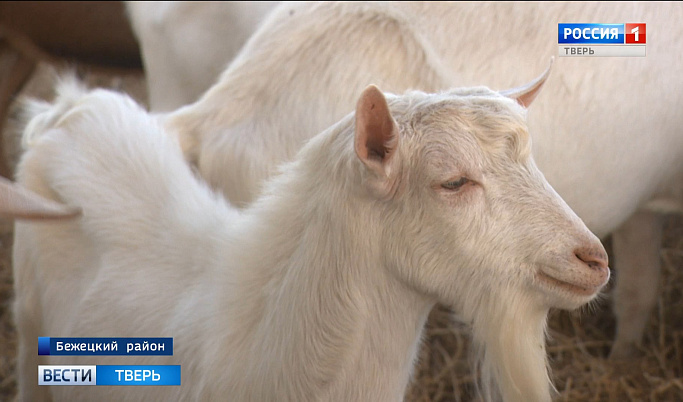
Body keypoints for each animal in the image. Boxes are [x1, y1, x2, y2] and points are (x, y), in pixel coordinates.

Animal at [158, 0, 680, 358]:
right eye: (452, 182)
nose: (591, 258)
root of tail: (213, 115)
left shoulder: (644, 209)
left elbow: (638, 285)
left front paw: (622, 361)